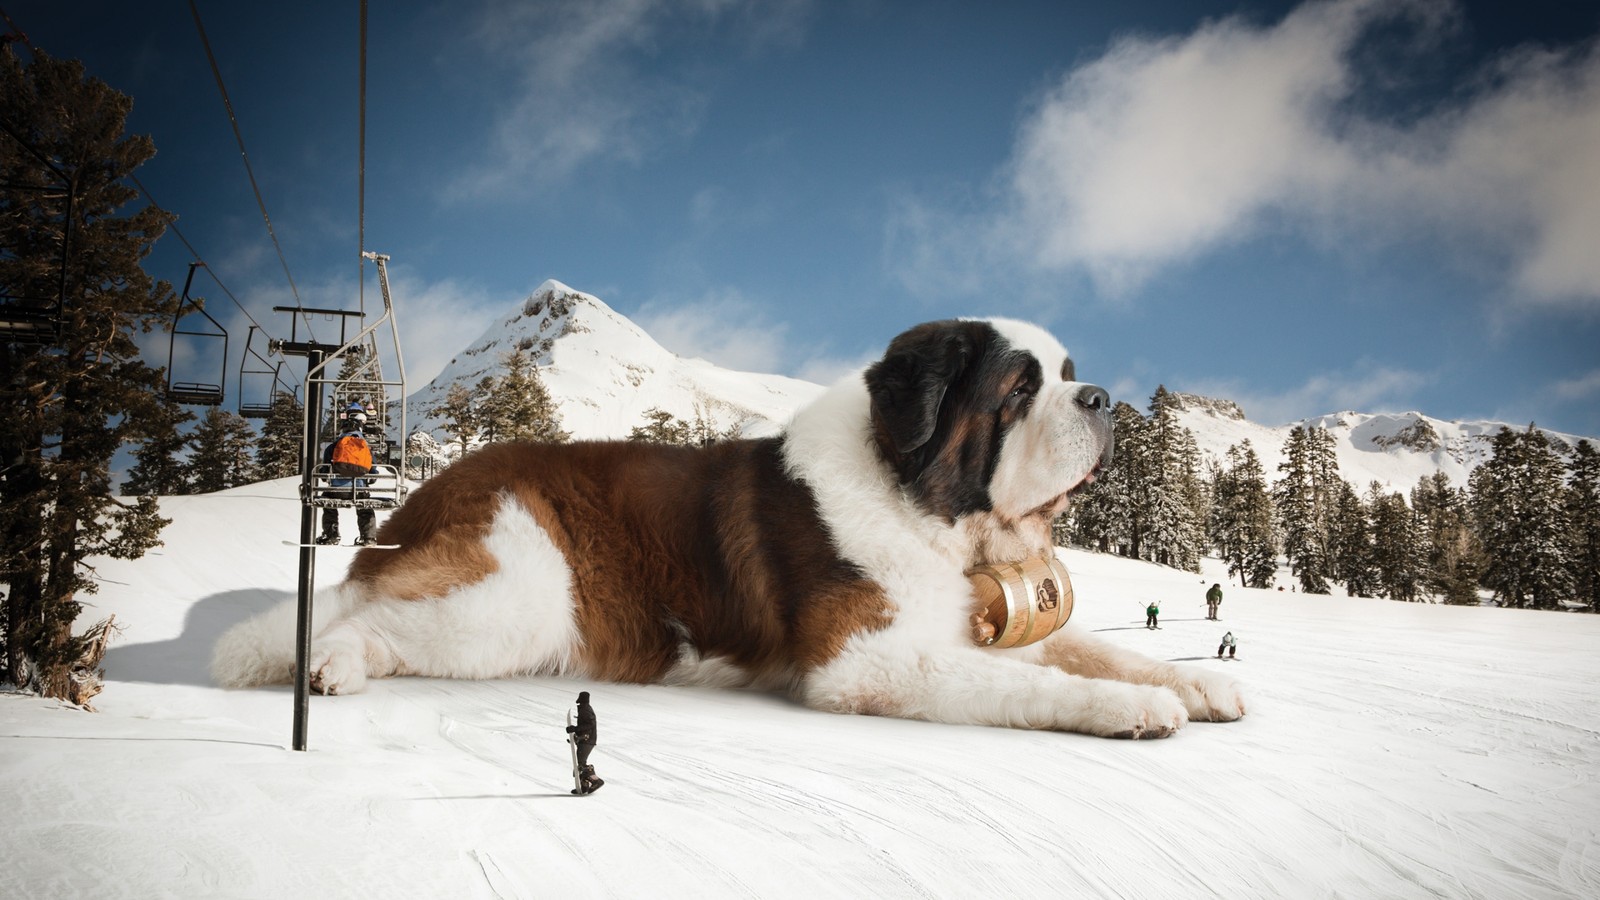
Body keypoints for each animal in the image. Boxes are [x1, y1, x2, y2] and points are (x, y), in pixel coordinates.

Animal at [212, 317, 1241, 736]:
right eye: (1020, 389)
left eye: (1068, 374)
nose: (1101, 399)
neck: (922, 501)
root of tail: (435, 488)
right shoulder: (867, 662)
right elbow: (1031, 681)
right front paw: (1134, 709)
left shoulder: (977, 622)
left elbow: (1095, 650)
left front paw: (1196, 685)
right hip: (516, 591)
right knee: (363, 619)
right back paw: (327, 664)